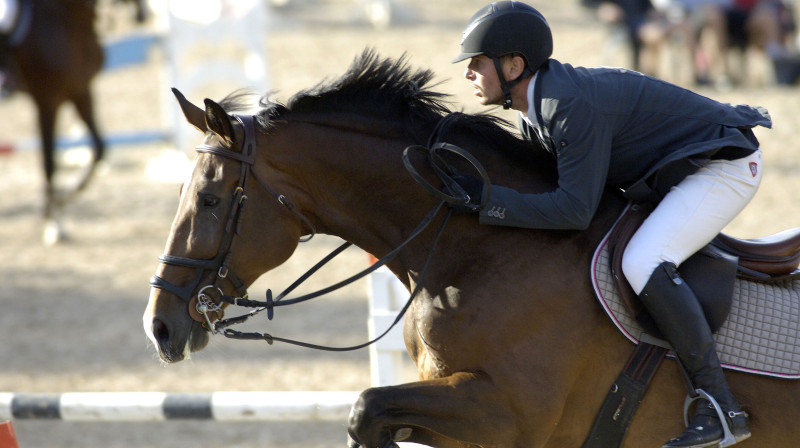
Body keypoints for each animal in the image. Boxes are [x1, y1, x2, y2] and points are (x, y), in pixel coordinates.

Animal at [1, 0, 106, 243]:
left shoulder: (80, 91)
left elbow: (99, 148)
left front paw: (63, 197)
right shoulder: (47, 101)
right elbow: (49, 161)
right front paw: (53, 221)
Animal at [144, 50, 800, 448]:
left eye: (209, 200)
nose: (160, 327)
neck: (474, 250)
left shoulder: (511, 413)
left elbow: (366, 406)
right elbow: (376, 413)